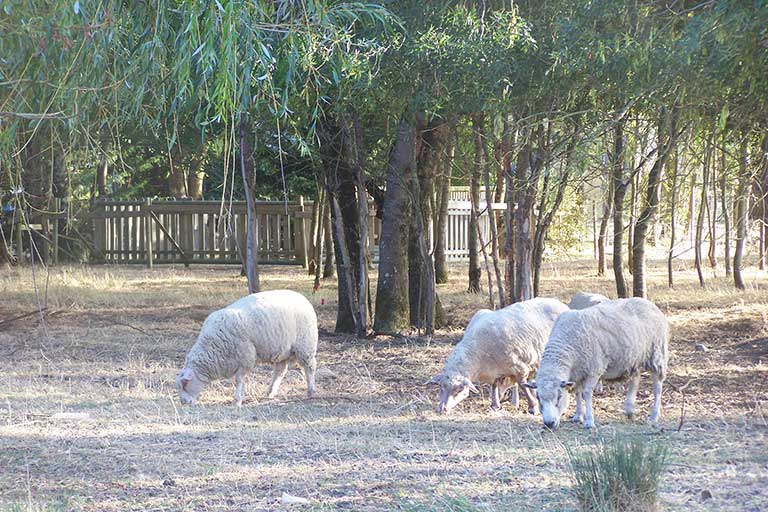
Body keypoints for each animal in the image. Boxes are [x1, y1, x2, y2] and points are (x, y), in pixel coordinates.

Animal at [176, 290, 316, 406]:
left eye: (185, 384)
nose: (184, 402)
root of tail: (301, 296)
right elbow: (241, 380)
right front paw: (241, 397)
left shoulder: (245, 358)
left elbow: (239, 380)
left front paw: (237, 400)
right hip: (282, 351)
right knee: (280, 371)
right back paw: (270, 392)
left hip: (306, 345)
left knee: (309, 368)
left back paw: (311, 392)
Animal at [432, 298, 568, 414]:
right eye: (441, 387)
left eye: (459, 390)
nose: (442, 409)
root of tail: (559, 303)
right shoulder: (494, 371)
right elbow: (494, 385)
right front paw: (495, 405)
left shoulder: (519, 367)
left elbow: (522, 385)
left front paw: (533, 407)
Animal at [528, 298, 664, 430]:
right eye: (538, 398)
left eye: (559, 397)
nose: (549, 424)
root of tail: (648, 302)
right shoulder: (577, 373)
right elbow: (577, 392)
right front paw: (578, 416)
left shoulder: (593, 370)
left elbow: (586, 393)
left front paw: (589, 421)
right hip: (634, 359)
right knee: (635, 379)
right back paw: (629, 410)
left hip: (657, 355)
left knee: (657, 388)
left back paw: (654, 416)